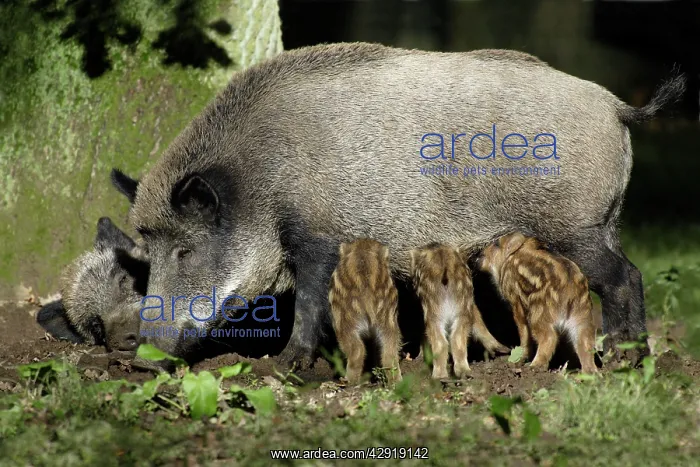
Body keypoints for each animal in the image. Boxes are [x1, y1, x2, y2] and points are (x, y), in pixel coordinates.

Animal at [328, 238, 402, 384]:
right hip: (388, 321)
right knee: (389, 354)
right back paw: (397, 382)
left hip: (344, 322)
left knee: (357, 351)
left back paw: (348, 381)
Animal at [477, 232, 598, 373]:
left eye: (496, 244)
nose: (479, 253)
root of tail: (571, 291)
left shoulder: (515, 300)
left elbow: (523, 329)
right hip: (582, 318)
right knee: (585, 344)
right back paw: (589, 372)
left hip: (539, 314)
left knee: (549, 338)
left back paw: (534, 367)